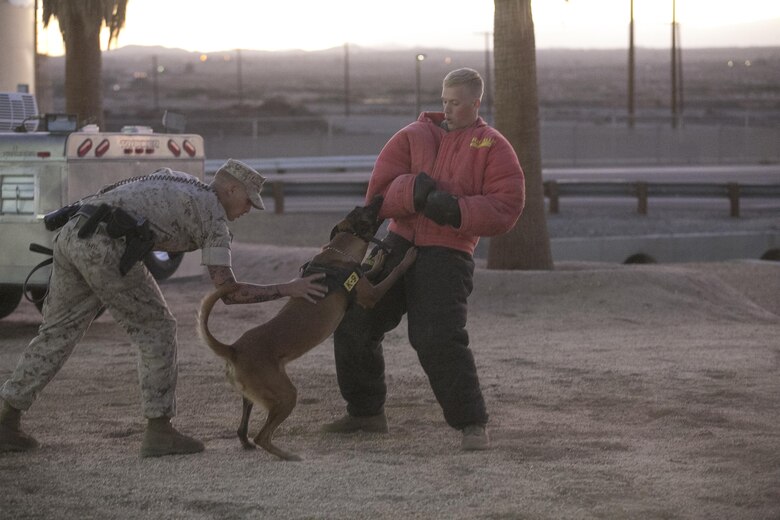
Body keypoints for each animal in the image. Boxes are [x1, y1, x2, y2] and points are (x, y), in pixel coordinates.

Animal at [198, 196, 418, 460]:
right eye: (368, 210)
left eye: (362, 207)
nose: (378, 197)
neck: (338, 251)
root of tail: (233, 348)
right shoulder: (371, 295)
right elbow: (392, 274)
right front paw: (407, 258)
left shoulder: (363, 281)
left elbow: (371, 269)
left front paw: (380, 259)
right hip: (286, 395)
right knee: (262, 436)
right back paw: (288, 455)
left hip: (251, 397)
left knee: (243, 431)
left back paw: (250, 444)